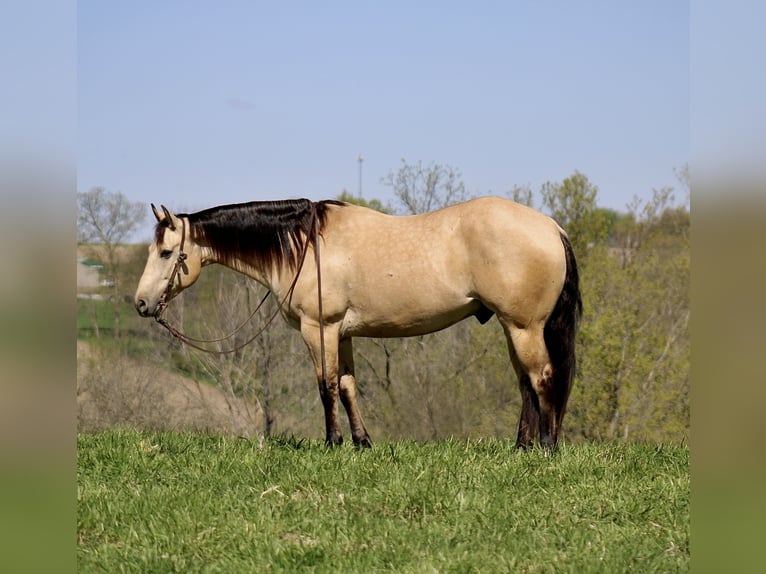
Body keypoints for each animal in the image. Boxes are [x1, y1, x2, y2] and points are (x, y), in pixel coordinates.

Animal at [134, 197, 581, 448]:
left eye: (166, 252)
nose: (141, 303)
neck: (305, 246)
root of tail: (552, 227)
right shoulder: (342, 333)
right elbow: (348, 386)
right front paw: (361, 442)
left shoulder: (319, 329)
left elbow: (327, 386)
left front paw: (332, 443)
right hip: (513, 328)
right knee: (525, 383)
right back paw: (522, 446)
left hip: (524, 327)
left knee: (542, 378)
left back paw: (545, 446)